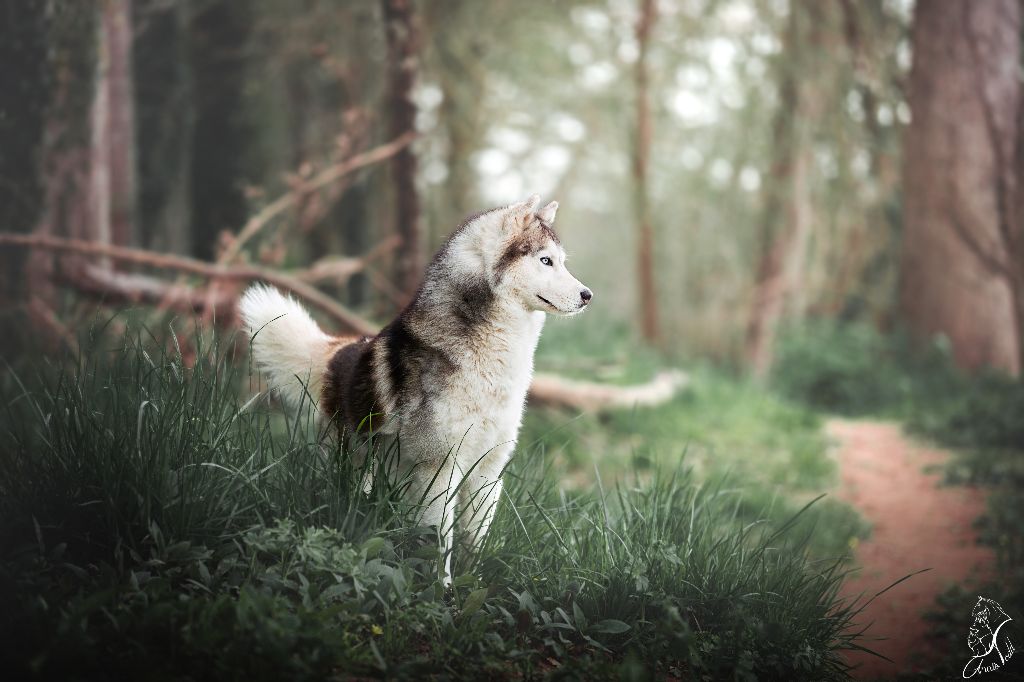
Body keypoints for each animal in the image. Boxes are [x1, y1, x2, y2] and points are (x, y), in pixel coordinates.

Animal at [239, 193, 593, 581]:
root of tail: (341, 349)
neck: (495, 357)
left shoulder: (487, 471)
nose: (587, 295)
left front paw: (472, 585)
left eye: (561, 262)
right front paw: (444, 591)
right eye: (545, 260)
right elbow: (440, 545)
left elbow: (473, 543)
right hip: (351, 462)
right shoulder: (438, 471)